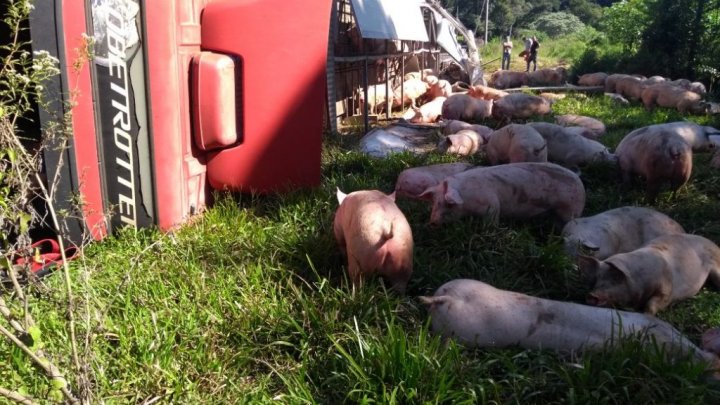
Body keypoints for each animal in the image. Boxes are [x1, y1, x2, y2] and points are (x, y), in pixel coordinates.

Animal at [416, 161, 584, 224]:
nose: (432, 223)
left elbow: (492, 221)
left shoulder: (492, 205)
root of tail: (577, 177)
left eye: (449, 204)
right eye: (434, 202)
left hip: (571, 209)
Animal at [576, 234, 720, 316]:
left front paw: (646, 314)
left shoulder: (667, 289)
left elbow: (654, 303)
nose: (591, 295)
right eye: (597, 280)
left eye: (616, 279)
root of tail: (715, 244)